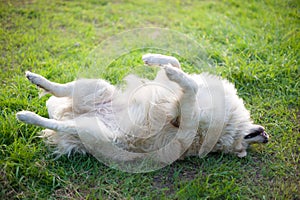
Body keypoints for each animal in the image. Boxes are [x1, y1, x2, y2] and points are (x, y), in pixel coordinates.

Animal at [15, 53, 270, 166]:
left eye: (245, 149)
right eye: (251, 141)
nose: (266, 136)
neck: (228, 129)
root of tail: (76, 113)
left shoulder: (184, 124)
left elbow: (191, 85)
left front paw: (172, 71)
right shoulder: (169, 92)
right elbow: (178, 64)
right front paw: (155, 59)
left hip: (94, 131)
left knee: (56, 123)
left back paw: (26, 115)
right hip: (97, 86)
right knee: (61, 90)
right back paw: (36, 79)